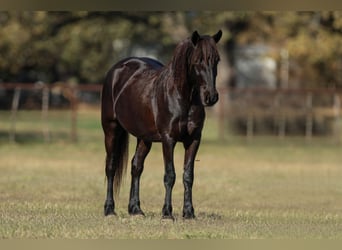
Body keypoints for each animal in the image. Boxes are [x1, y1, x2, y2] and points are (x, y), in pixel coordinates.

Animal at [100, 30, 223, 219]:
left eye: (217, 60)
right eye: (198, 60)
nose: (211, 97)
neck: (181, 97)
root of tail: (116, 70)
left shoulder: (194, 140)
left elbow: (188, 176)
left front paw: (189, 213)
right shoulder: (168, 139)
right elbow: (170, 175)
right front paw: (167, 213)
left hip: (144, 138)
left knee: (136, 166)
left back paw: (135, 209)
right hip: (111, 129)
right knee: (111, 166)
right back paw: (109, 210)